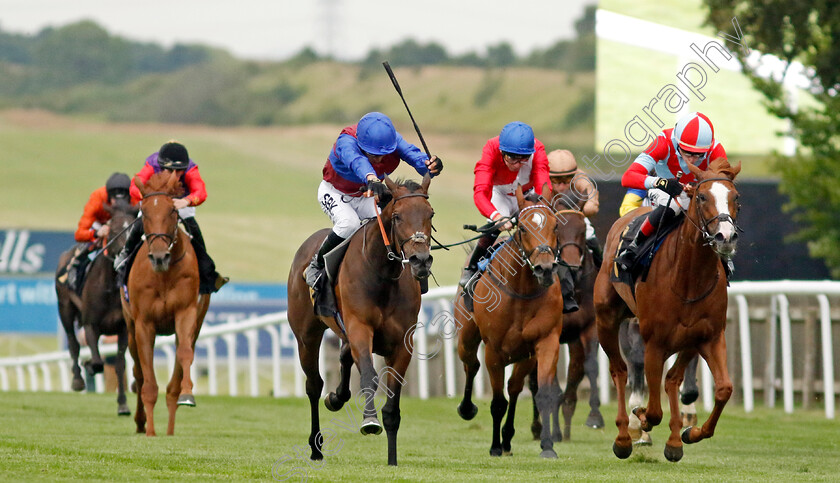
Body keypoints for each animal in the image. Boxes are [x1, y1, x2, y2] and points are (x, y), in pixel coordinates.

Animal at [55, 197, 137, 416]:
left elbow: (119, 365)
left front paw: (123, 404)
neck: (109, 286)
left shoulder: (123, 328)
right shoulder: (91, 324)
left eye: (133, 229)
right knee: (73, 344)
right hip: (65, 309)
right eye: (114, 229)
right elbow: (98, 362)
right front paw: (89, 365)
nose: (127, 254)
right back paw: (77, 380)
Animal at [122, 172, 212, 436]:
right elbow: (147, 380)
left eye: (172, 211)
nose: (159, 257)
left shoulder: (186, 313)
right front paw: (150, 431)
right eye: (144, 212)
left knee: (176, 374)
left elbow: (184, 353)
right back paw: (141, 422)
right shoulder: (144, 323)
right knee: (138, 373)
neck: (163, 275)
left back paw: (171, 425)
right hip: (129, 327)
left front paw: (188, 395)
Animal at [288, 176, 434, 466]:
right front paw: (369, 421)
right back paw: (316, 447)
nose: (421, 261)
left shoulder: (402, 343)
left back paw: (336, 398)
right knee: (314, 385)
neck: (382, 273)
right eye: (397, 216)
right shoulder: (359, 329)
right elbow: (369, 375)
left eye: (430, 214)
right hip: (306, 336)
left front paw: (392, 458)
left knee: (343, 357)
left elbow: (392, 403)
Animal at [456, 184, 568, 458]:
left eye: (555, 227)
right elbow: (498, 402)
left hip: (525, 356)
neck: (522, 290)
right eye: (524, 228)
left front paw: (547, 446)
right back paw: (468, 409)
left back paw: (508, 438)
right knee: (471, 364)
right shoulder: (494, 350)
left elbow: (542, 394)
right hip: (466, 338)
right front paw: (494, 447)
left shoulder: (545, 342)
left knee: (515, 386)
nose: (544, 269)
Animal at [592, 159, 740, 462]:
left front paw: (690, 433)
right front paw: (641, 419)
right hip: (607, 320)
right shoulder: (654, 342)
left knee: (673, 379)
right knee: (619, 370)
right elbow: (654, 410)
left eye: (736, 199)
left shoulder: (709, 336)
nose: (725, 237)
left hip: (687, 340)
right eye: (702, 196)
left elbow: (723, 389)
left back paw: (674, 440)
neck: (688, 279)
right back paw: (624, 436)